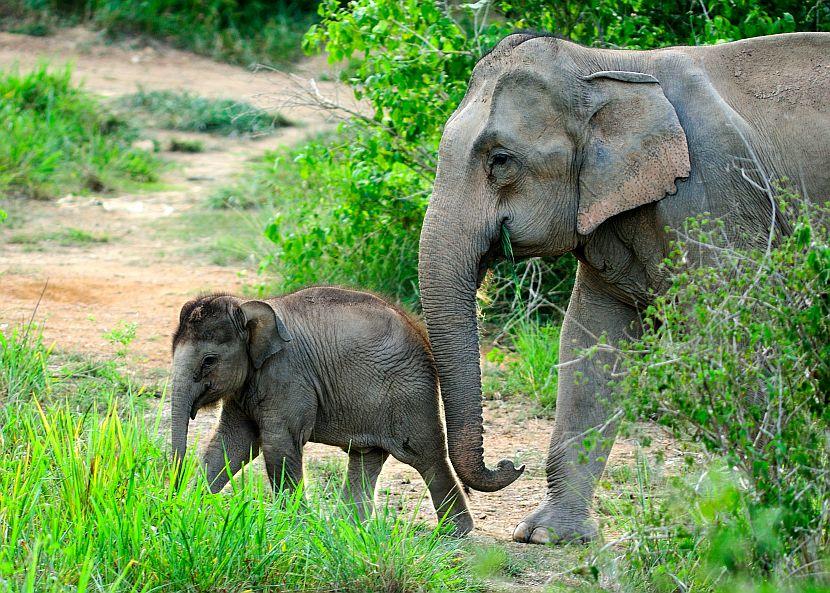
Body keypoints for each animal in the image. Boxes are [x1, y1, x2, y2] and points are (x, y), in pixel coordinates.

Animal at [169, 286, 474, 532]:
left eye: (209, 360)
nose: (171, 497)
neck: (247, 306)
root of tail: (421, 334)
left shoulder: (288, 376)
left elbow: (278, 445)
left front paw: (297, 526)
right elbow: (231, 444)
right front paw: (191, 507)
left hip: (411, 395)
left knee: (425, 455)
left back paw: (455, 532)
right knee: (367, 456)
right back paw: (348, 526)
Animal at [422, 30, 830, 544]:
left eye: (501, 160)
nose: (510, 463)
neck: (610, 65)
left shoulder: (715, 195)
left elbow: (740, 336)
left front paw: (776, 521)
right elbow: (590, 343)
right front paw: (547, 536)